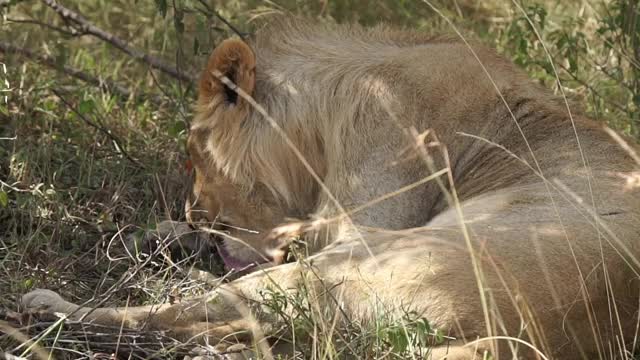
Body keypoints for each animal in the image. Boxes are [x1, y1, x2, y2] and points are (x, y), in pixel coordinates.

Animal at [20, 18, 640, 358]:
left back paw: (57, 308)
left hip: (369, 259)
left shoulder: (361, 213)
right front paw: (165, 233)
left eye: (194, 156)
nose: (195, 213)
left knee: (196, 306)